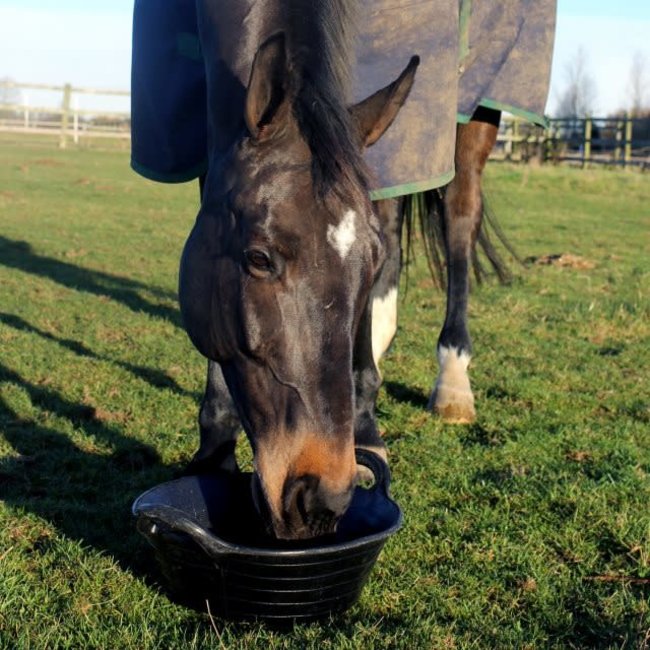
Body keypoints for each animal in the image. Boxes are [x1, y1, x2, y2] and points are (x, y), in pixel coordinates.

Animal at [131, 0, 555, 540]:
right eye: (258, 258)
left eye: (367, 265)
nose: (320, 498)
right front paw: (214, 450)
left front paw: (366, 426)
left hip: (473, 108)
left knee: (458, 215)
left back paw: (448, 381)